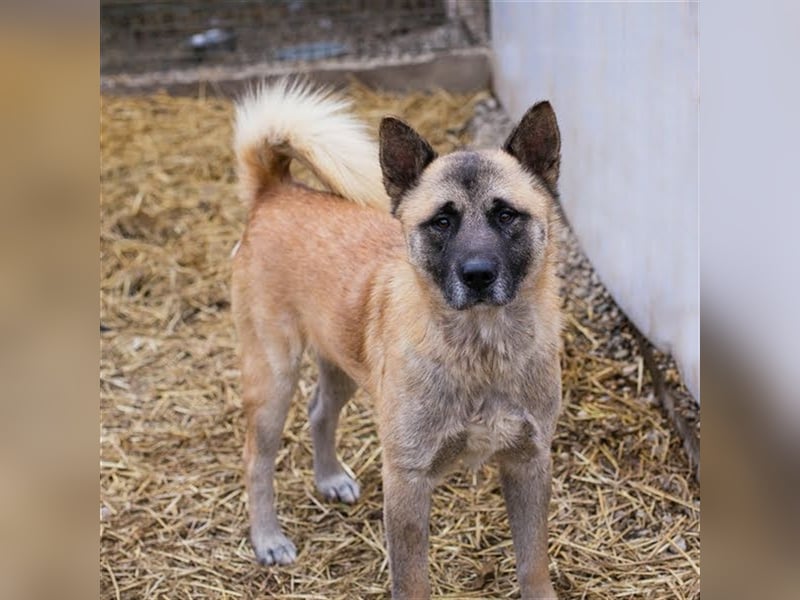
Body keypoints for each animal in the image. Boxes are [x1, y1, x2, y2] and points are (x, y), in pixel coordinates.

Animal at [230, 79, 564, 600]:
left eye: (506, 215)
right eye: (442, 222)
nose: (478, 275)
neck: (482, 351)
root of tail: (276, 190)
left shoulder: (529, 463)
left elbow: (533, 565)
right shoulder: (407, 480)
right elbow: (412, 580)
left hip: (342, 363)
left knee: (320, 411)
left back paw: (330, 478)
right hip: (272, 380)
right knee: (256, 459)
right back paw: (268, 538)